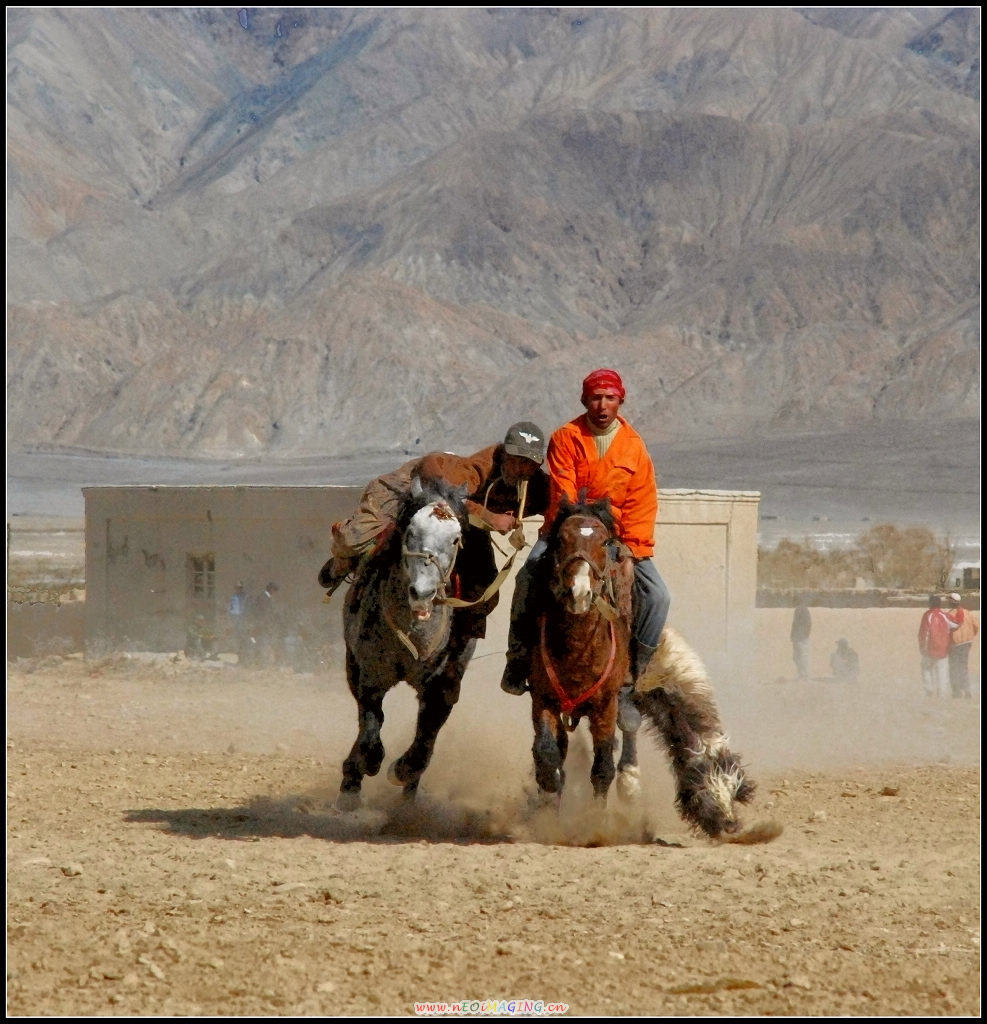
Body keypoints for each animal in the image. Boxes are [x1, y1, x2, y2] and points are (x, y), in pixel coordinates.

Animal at [335, 477, 475, 806]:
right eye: (410, 531)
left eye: (455, 539)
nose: (422, 592)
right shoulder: (370, 675)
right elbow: (371, 731)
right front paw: (364, 768)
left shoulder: (442, 682)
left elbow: (425, 738)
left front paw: (401, 771)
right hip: (352, 664)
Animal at [524, 491, 630, 802]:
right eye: (560, 540)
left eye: (604, 542)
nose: (579, 593)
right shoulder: (543, 699)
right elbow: (548, 760)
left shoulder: (606, 706)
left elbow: (603, 768)